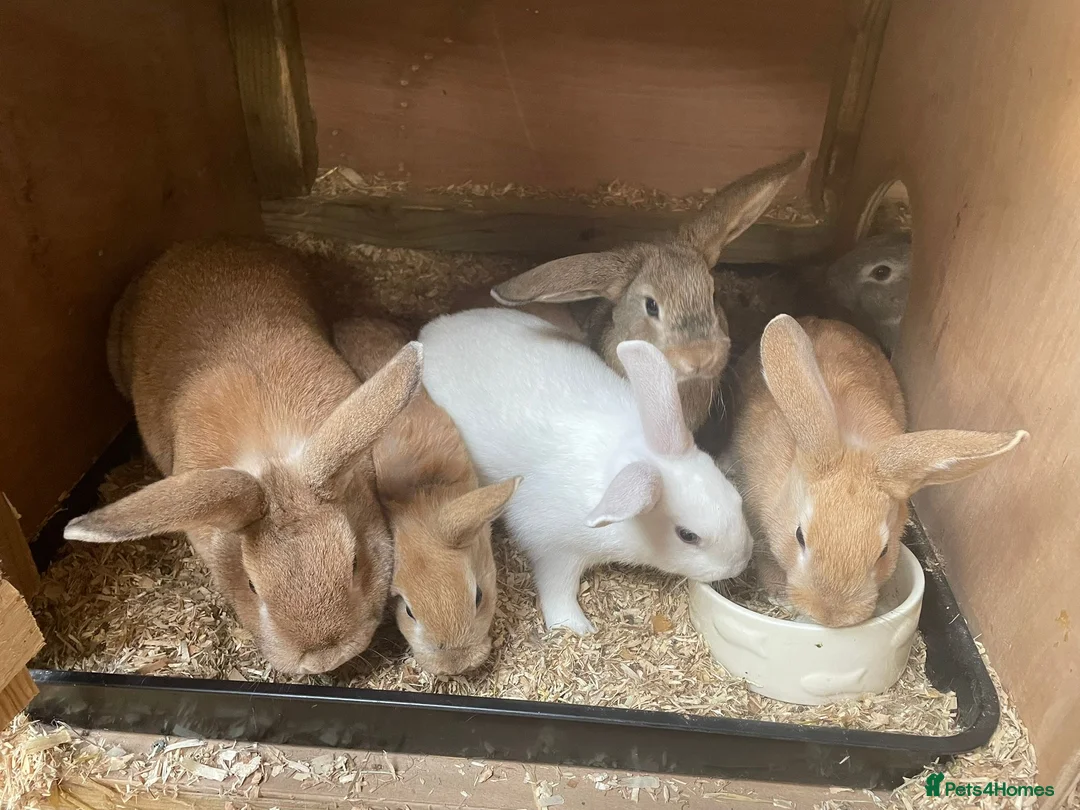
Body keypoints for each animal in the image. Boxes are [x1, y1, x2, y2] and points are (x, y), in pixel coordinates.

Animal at [418, 307, 754, 635]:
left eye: (736, 498)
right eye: (687, 536)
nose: (741, 561)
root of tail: (430, 332)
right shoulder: (554, 549)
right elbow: (557, 589)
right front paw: (575, 627)